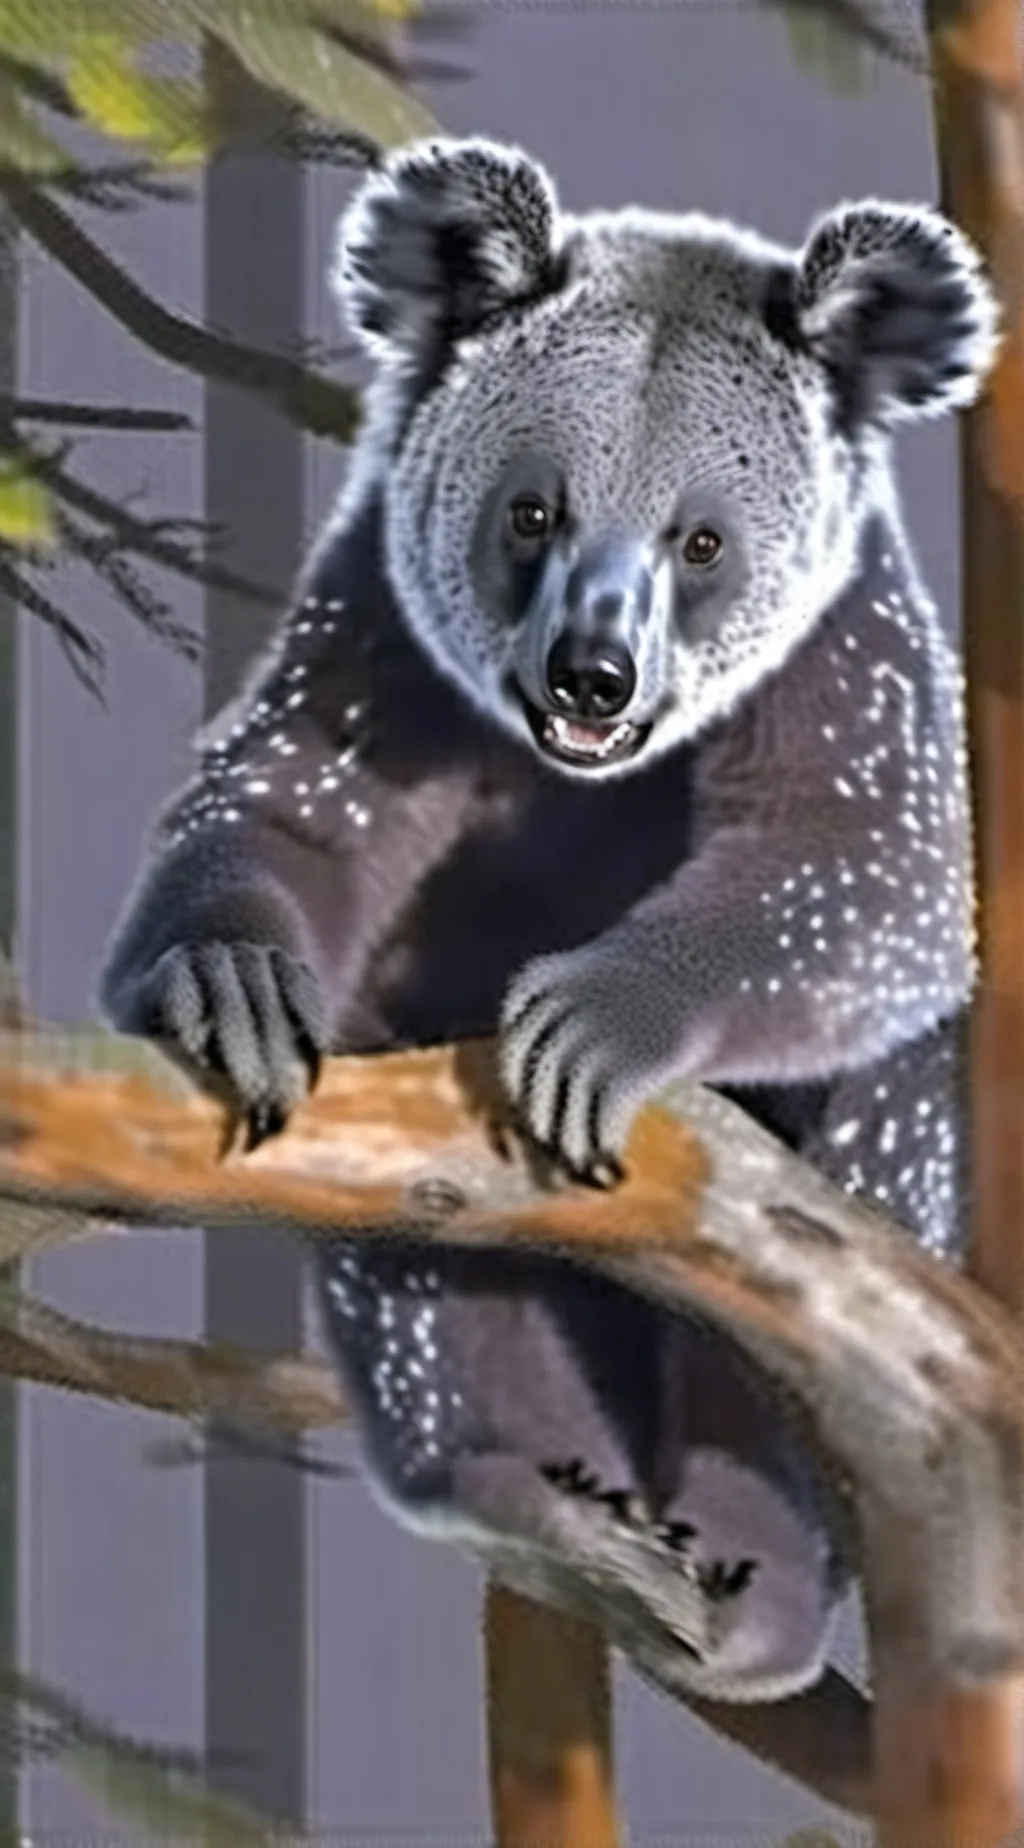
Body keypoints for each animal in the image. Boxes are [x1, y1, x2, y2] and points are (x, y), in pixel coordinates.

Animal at [98, 137, 997, 1704]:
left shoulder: (846, 663)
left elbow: (876, 874)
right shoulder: (371, 631)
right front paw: (231, 981)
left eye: (704, 542)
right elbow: (284, 810)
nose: (593, 674)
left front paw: (596, 1022)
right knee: (422, 1257)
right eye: (530, 513)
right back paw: (538, 1492)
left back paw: (751, 1563)